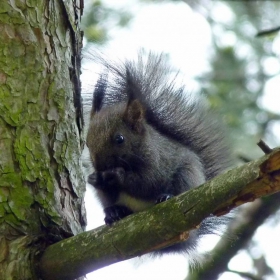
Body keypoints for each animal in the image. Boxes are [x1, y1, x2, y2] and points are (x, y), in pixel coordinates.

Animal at [86, 51, 231, 255]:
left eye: (120, 139)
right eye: (86, 142)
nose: (99, 167)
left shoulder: (158, 161)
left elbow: (147, 182)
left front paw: (116, 175)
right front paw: (94, 179)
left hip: (187, 175)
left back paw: (166, 197)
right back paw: (114, 212)